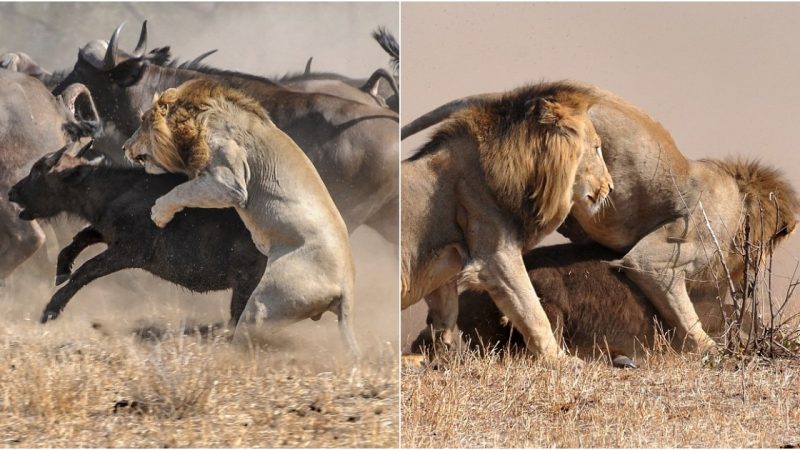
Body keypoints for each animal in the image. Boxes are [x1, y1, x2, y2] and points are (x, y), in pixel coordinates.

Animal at [7, 144, 266, 324]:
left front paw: (51, 309)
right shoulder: (107, 231)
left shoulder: (127, 252)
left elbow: (86, 270)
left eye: (37, 172)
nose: (11, 192)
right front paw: (62, 270)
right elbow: (78, 240)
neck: (118, 190)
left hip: (245, 284)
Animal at [122, 79, 360, 356]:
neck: (198, 118)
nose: (124, 147)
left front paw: (158, 213)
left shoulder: (229, 183)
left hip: (265, 302)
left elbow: (181, 190)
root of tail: (347, 285)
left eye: (143, 122)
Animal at [400, 81, 612, 360]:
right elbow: (532, 311)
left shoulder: (445, 258)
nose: (610, 187)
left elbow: (446, 310)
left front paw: (435, 350)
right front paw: (560, 359)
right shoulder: (496, 256)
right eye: (597, 148)